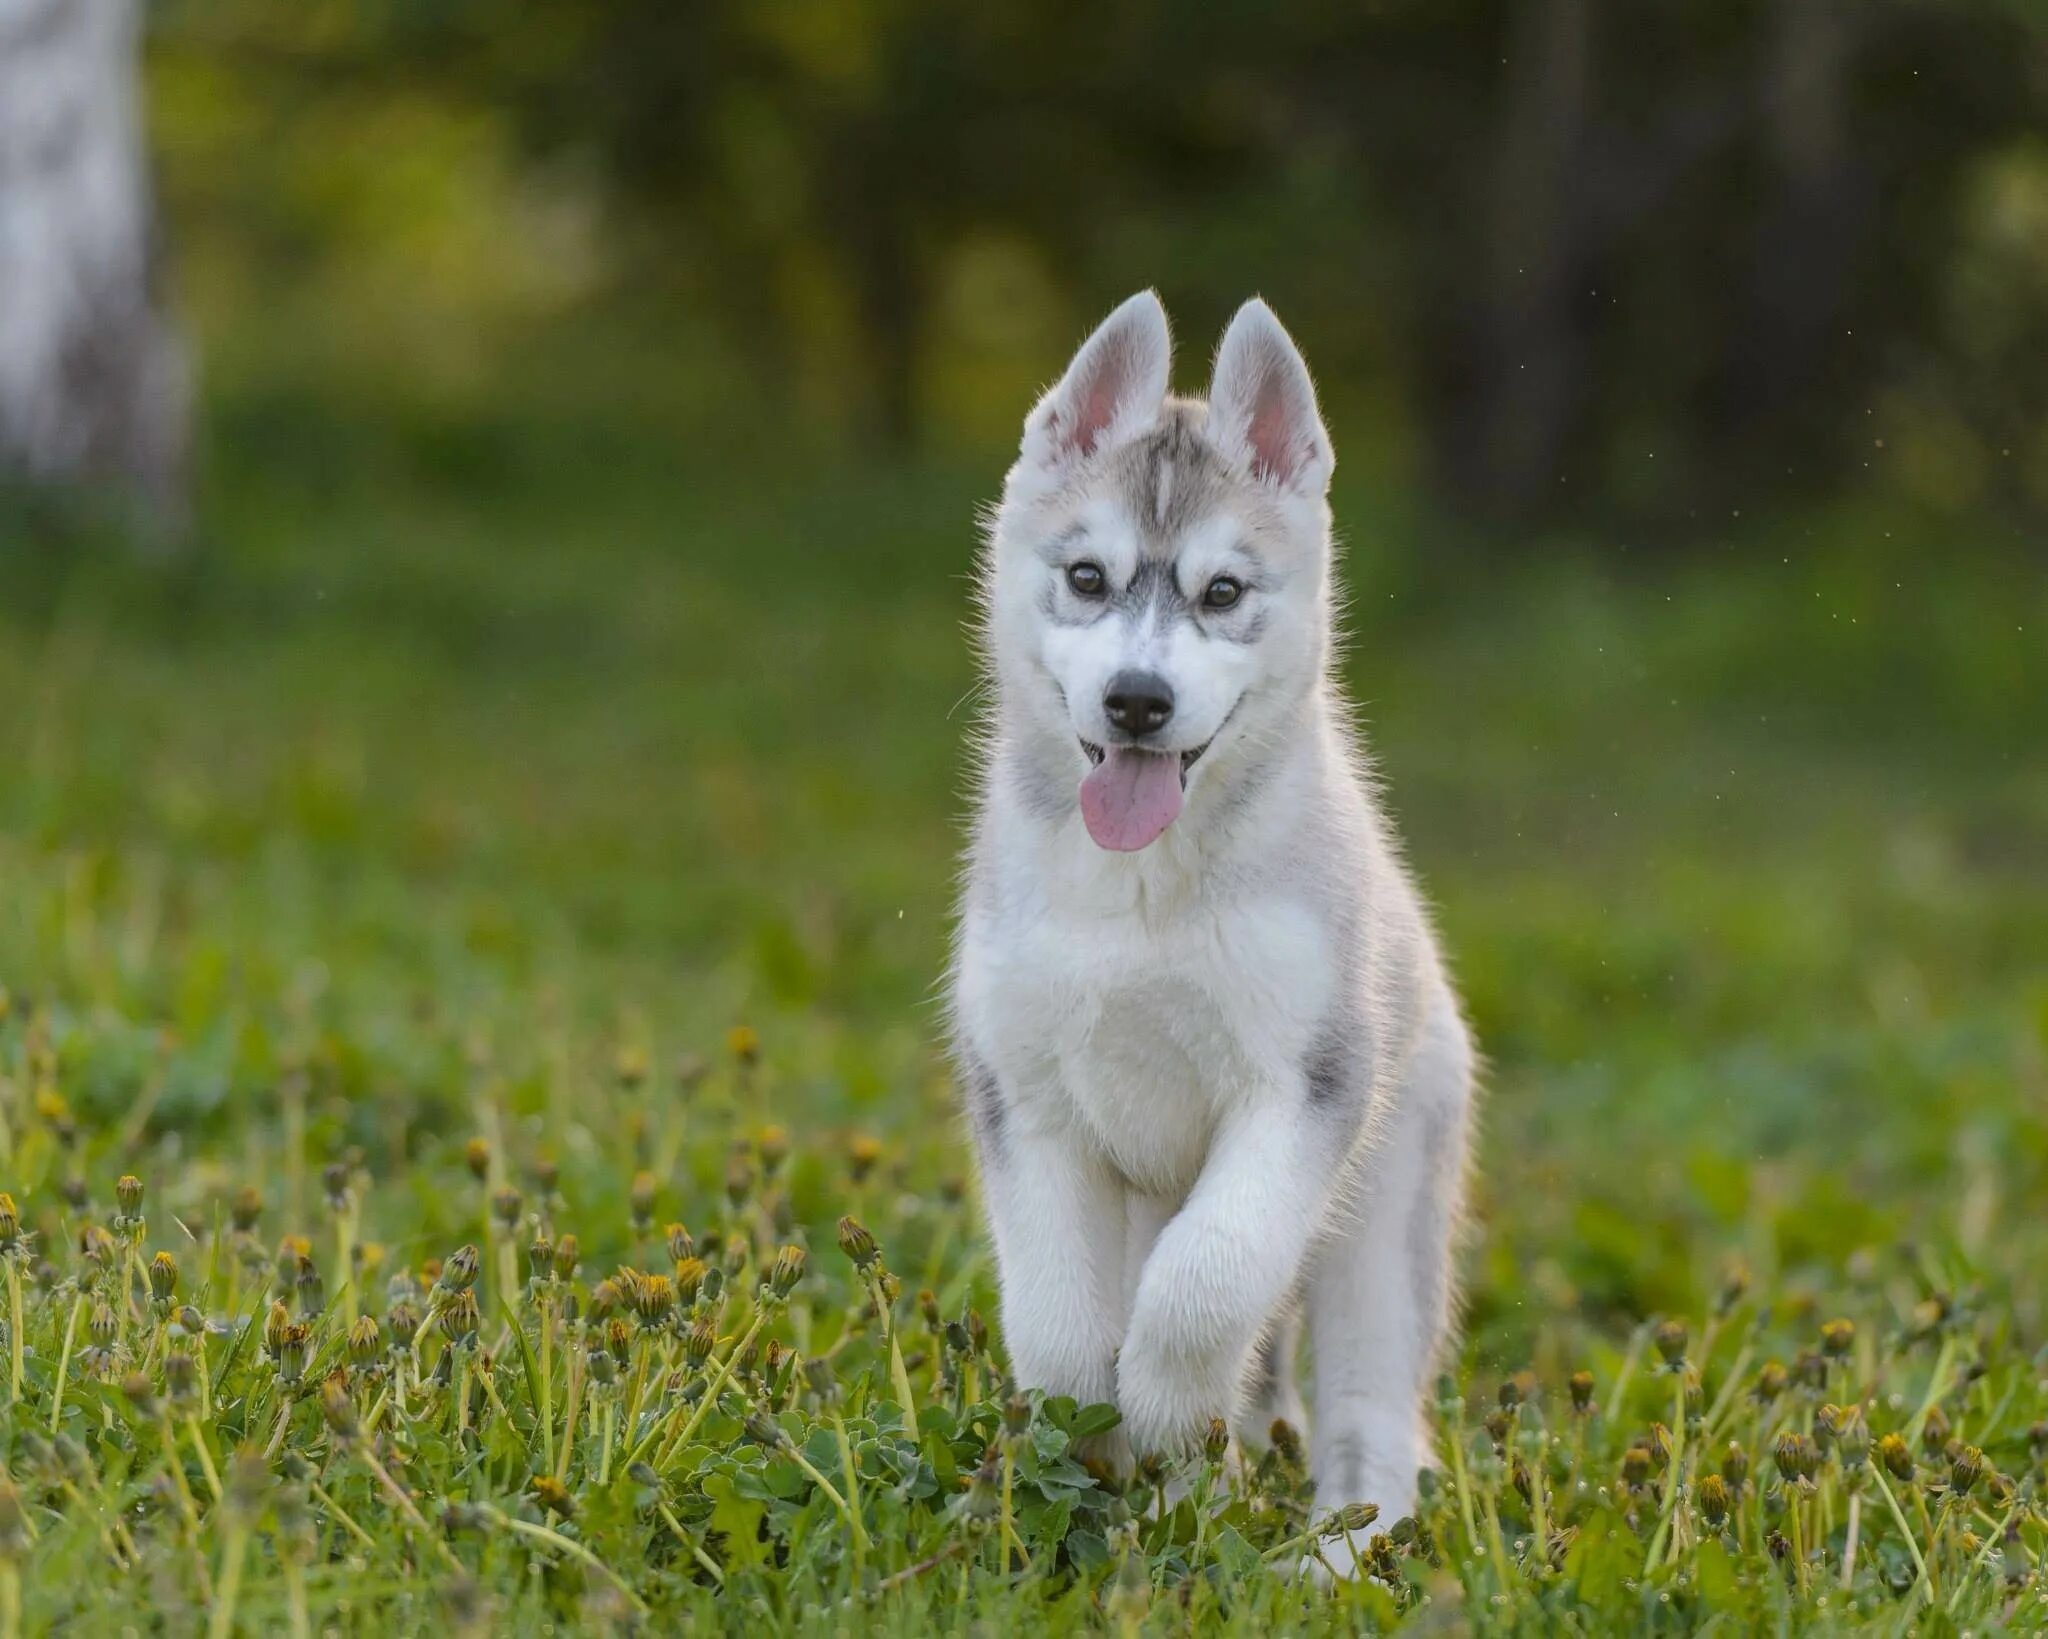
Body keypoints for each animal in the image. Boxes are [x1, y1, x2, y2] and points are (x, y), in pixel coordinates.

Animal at [942, 290, 1474, 1565]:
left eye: (1222, 594)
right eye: (1088, 576)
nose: (1137, 701)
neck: (1140, 893)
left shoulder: (1301, 1089)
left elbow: (1202, 1286)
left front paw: (1165, 1411)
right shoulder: (1024, 1099)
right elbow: (1057, 1323)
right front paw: (1093, 1437)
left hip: (1381, 1212)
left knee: (1370, 1414)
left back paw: (1330, 1555)